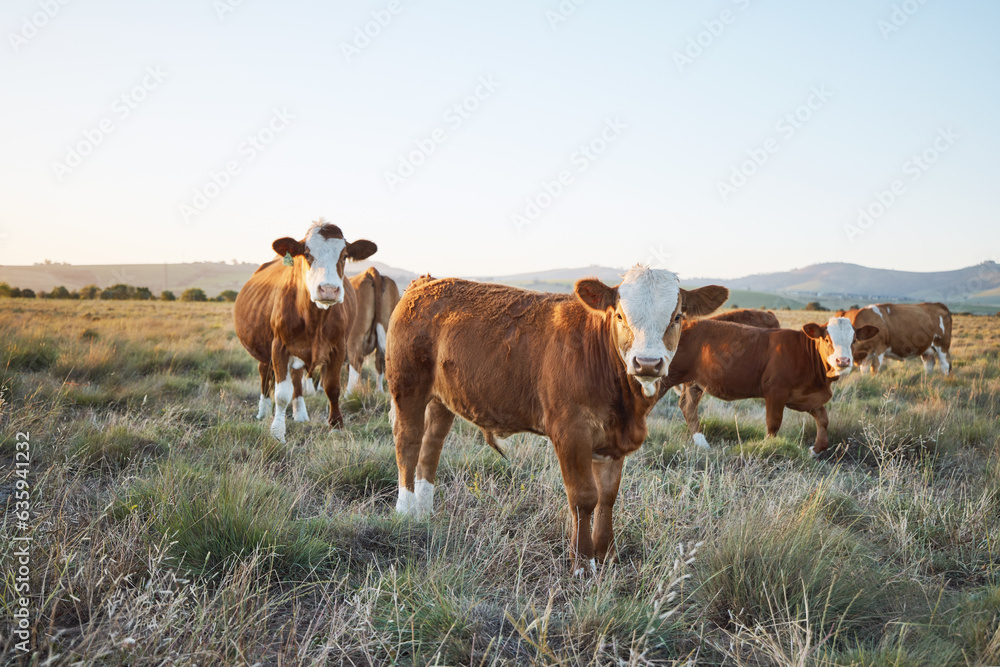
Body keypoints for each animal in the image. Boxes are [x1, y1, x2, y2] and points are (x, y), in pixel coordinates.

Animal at [234, 220, 378, 444]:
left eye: (344, 255)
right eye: (307, 254)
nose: (328, 289)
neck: (314, 318)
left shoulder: (338, 347)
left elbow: (332, 387)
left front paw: (336, 426)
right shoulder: (279, 346)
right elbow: (281, 393)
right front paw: (277, 432)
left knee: (295, 378)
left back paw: (300, 413)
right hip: (264, 348)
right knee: (264, 374)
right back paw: (263, 411)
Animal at [384, 266, 728, 576]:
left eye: (677, 317)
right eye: (620, 315)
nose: (647, 363)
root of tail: (425, 282)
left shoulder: (613, 441)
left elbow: (608, 497)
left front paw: (607, 554)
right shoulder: (571, 432)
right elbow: (584, 497)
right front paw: (582, 563)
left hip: (443, 399)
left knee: (431, 445)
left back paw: (424, 511)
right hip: (407, 385)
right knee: (408, 442)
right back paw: (405, 511)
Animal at [660, 318, 880, 454]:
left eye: (854, 340)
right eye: (827, 339)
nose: (843, 361)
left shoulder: (806, 397)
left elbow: (824, 420)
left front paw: (815, 450)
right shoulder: (775, 392)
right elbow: (773, 423)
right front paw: (767, 447)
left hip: (695, 383)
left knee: (688, 406)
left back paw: (702, 444)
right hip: (665, 377)